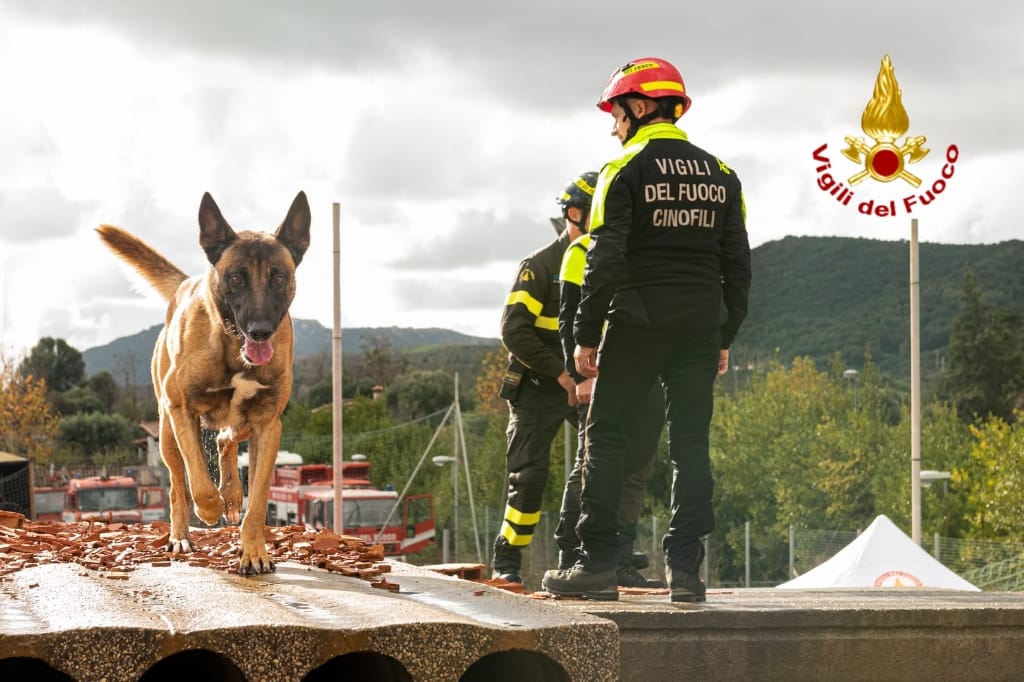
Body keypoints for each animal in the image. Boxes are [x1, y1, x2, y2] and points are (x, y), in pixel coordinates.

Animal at [97, 191, 309, 573]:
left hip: (243, 422)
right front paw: (209, 509)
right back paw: (182, 535)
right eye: (236, 278)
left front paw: (253, 550)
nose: (260, 331)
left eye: (278, 277)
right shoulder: (182, 409)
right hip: (167, 433)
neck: (232, 345)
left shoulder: (268, 424)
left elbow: (258, 501)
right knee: (177, 486)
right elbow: (198, 483)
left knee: (226, 440)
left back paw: (232, 496)